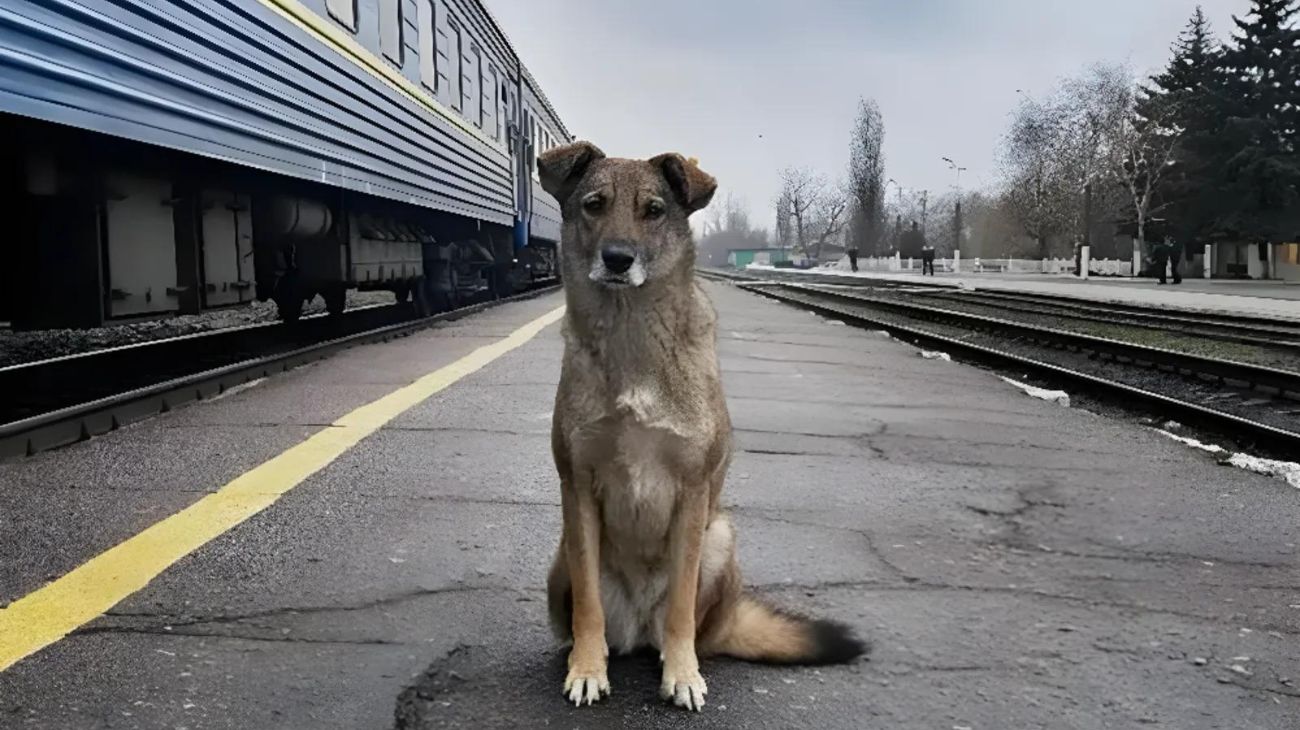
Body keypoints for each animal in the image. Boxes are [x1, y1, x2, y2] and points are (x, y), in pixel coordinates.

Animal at [533, 138, 868, 706]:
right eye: (594, 204)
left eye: (653, 210)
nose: (617, 258)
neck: (632, 332)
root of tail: (637, 629)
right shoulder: (576, 486)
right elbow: (589, 609)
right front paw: (587, 668)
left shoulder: (691, 492)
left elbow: (681, 605)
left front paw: (683, 675)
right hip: (561, 558)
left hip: (720, 536)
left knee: (689, 624)